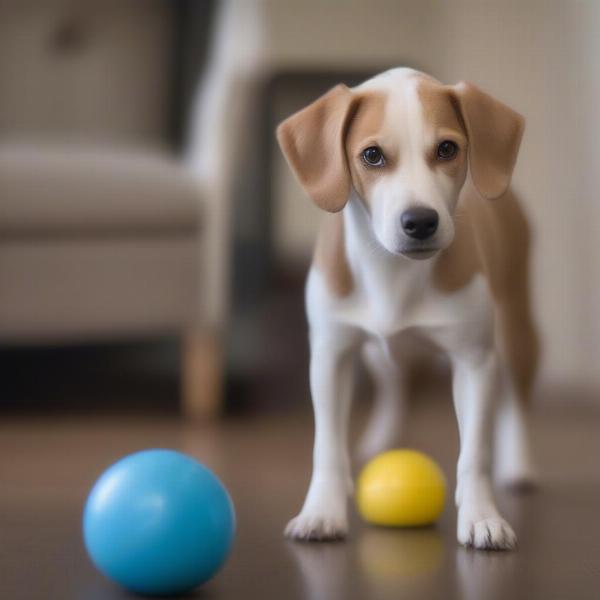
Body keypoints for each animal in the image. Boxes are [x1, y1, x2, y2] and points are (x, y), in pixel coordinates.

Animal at [276, 68, 540, 552]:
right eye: (372, 155)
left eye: (447, 149)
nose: (419, 221)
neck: (392, 274)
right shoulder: (331, 356)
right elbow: (327, 445)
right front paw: (321, 511)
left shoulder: (474, 361)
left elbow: (475, 451)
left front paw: (482, 516)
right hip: (376, 356)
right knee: (394, 384)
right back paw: (382, 437)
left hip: (516, 328)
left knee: (515, 397)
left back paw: (519, 463)